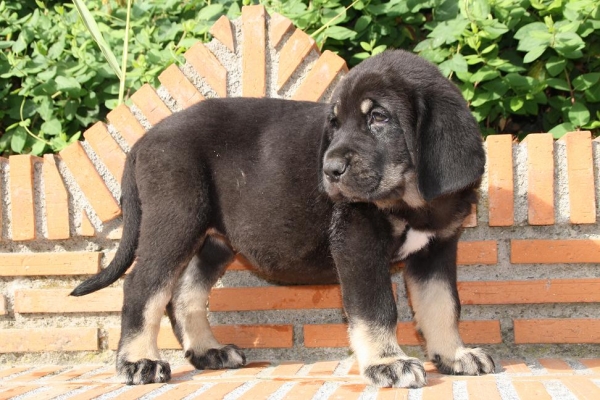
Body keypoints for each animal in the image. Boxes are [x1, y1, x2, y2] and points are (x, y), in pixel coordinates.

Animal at [71, 50, 492, 388]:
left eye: (379, 117)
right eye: (334, 124)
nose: (329, 170)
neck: (413, 199)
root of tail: (142, 141)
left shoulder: (437, 250)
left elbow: (443, 305)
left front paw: (455, 355)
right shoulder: (358, 243)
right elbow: (377, 308)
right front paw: (387, 362)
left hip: (214, 239)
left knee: (185, 293)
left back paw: (208, 351)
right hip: (176, 219)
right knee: (143, 287)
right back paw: (138, 361)